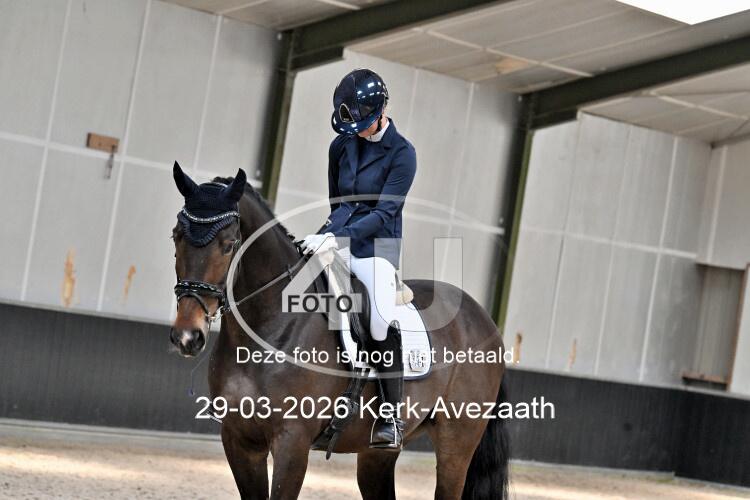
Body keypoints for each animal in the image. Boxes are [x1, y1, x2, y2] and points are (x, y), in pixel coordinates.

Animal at [169, 164, 510, 499]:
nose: (187, 336)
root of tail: (484, 317)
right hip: (377, 455)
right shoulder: (239, 440)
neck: (269, 326)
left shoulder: (292, 443)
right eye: (176, 237)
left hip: (456, 445)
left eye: (228, 246)